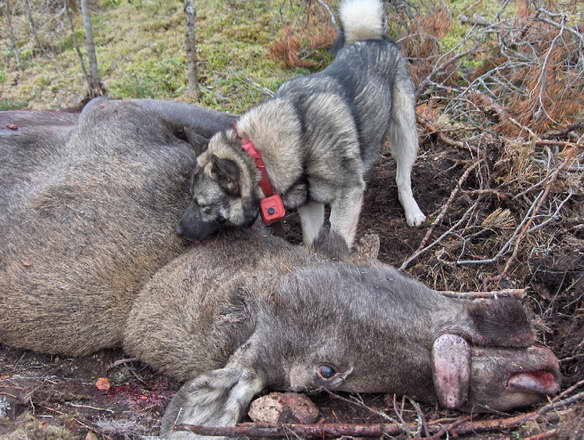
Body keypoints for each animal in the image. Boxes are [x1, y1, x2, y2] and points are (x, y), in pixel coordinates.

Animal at [176, 0, 426, 248]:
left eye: (203, 206)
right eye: (191, 198)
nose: (178, 230)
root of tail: (370, 39)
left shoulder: (349, 196)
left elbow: (339, 238)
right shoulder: (310, 204)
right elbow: (310, 240)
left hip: (405, 133)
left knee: (402, 178)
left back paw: (412, 211)